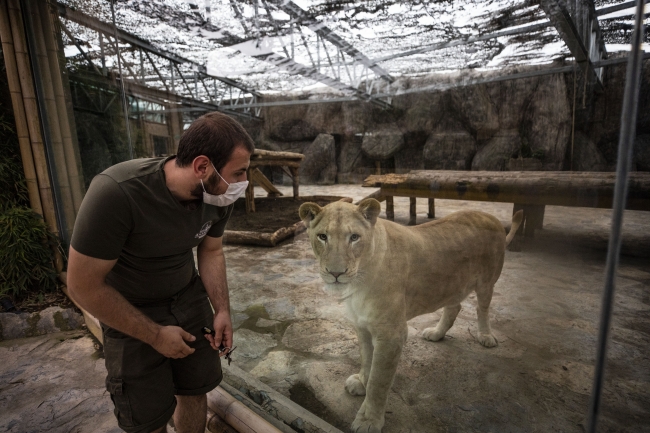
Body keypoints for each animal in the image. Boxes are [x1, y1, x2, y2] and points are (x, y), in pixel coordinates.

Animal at [298, 197, 520, 430]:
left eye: (354, 237)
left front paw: (369, 419)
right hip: (452, 284)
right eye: (323, 237)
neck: (359, 280)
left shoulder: (391, 335)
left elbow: (379, 381)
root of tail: (492, 218)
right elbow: (366, 359)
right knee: (454, 307)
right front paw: (361, 382)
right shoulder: (362, 326)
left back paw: (486, 336)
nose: (335, 273)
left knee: (482, 308)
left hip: (487, 281)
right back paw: (436, 333)